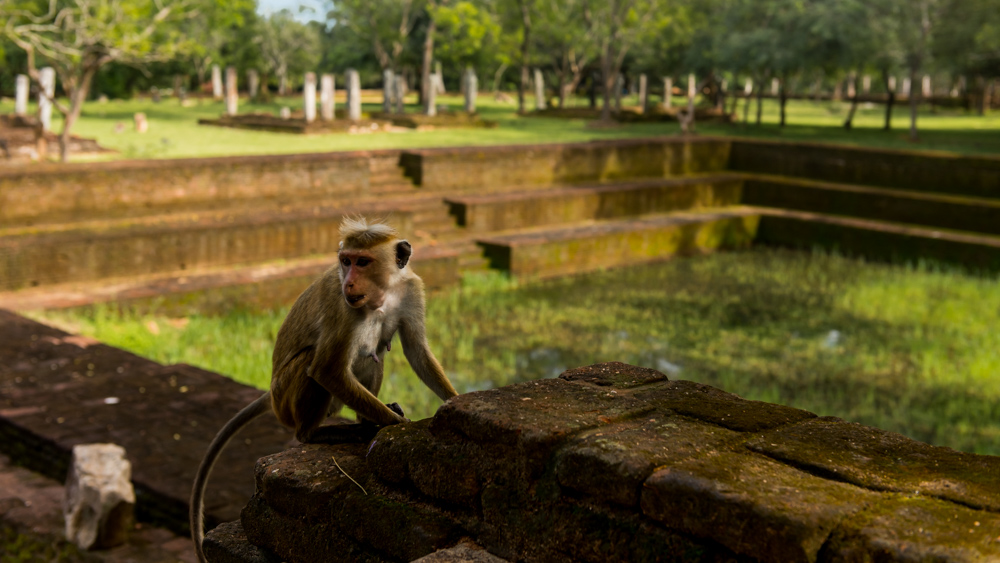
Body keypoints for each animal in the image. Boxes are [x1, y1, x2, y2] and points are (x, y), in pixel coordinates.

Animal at [189, 217, 458, 563]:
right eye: (346, 261)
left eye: (362, 262)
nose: (350, 283)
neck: (383, 292)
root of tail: (271, 394)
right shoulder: (344, 308)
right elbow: (326, 369)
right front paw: (401, 425)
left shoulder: (412, 289)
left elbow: (416, 350)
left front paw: (453, 401)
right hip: (287, 398)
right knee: (317, 363)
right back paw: (319, 432)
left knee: (374, 356)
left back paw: (364, 422)